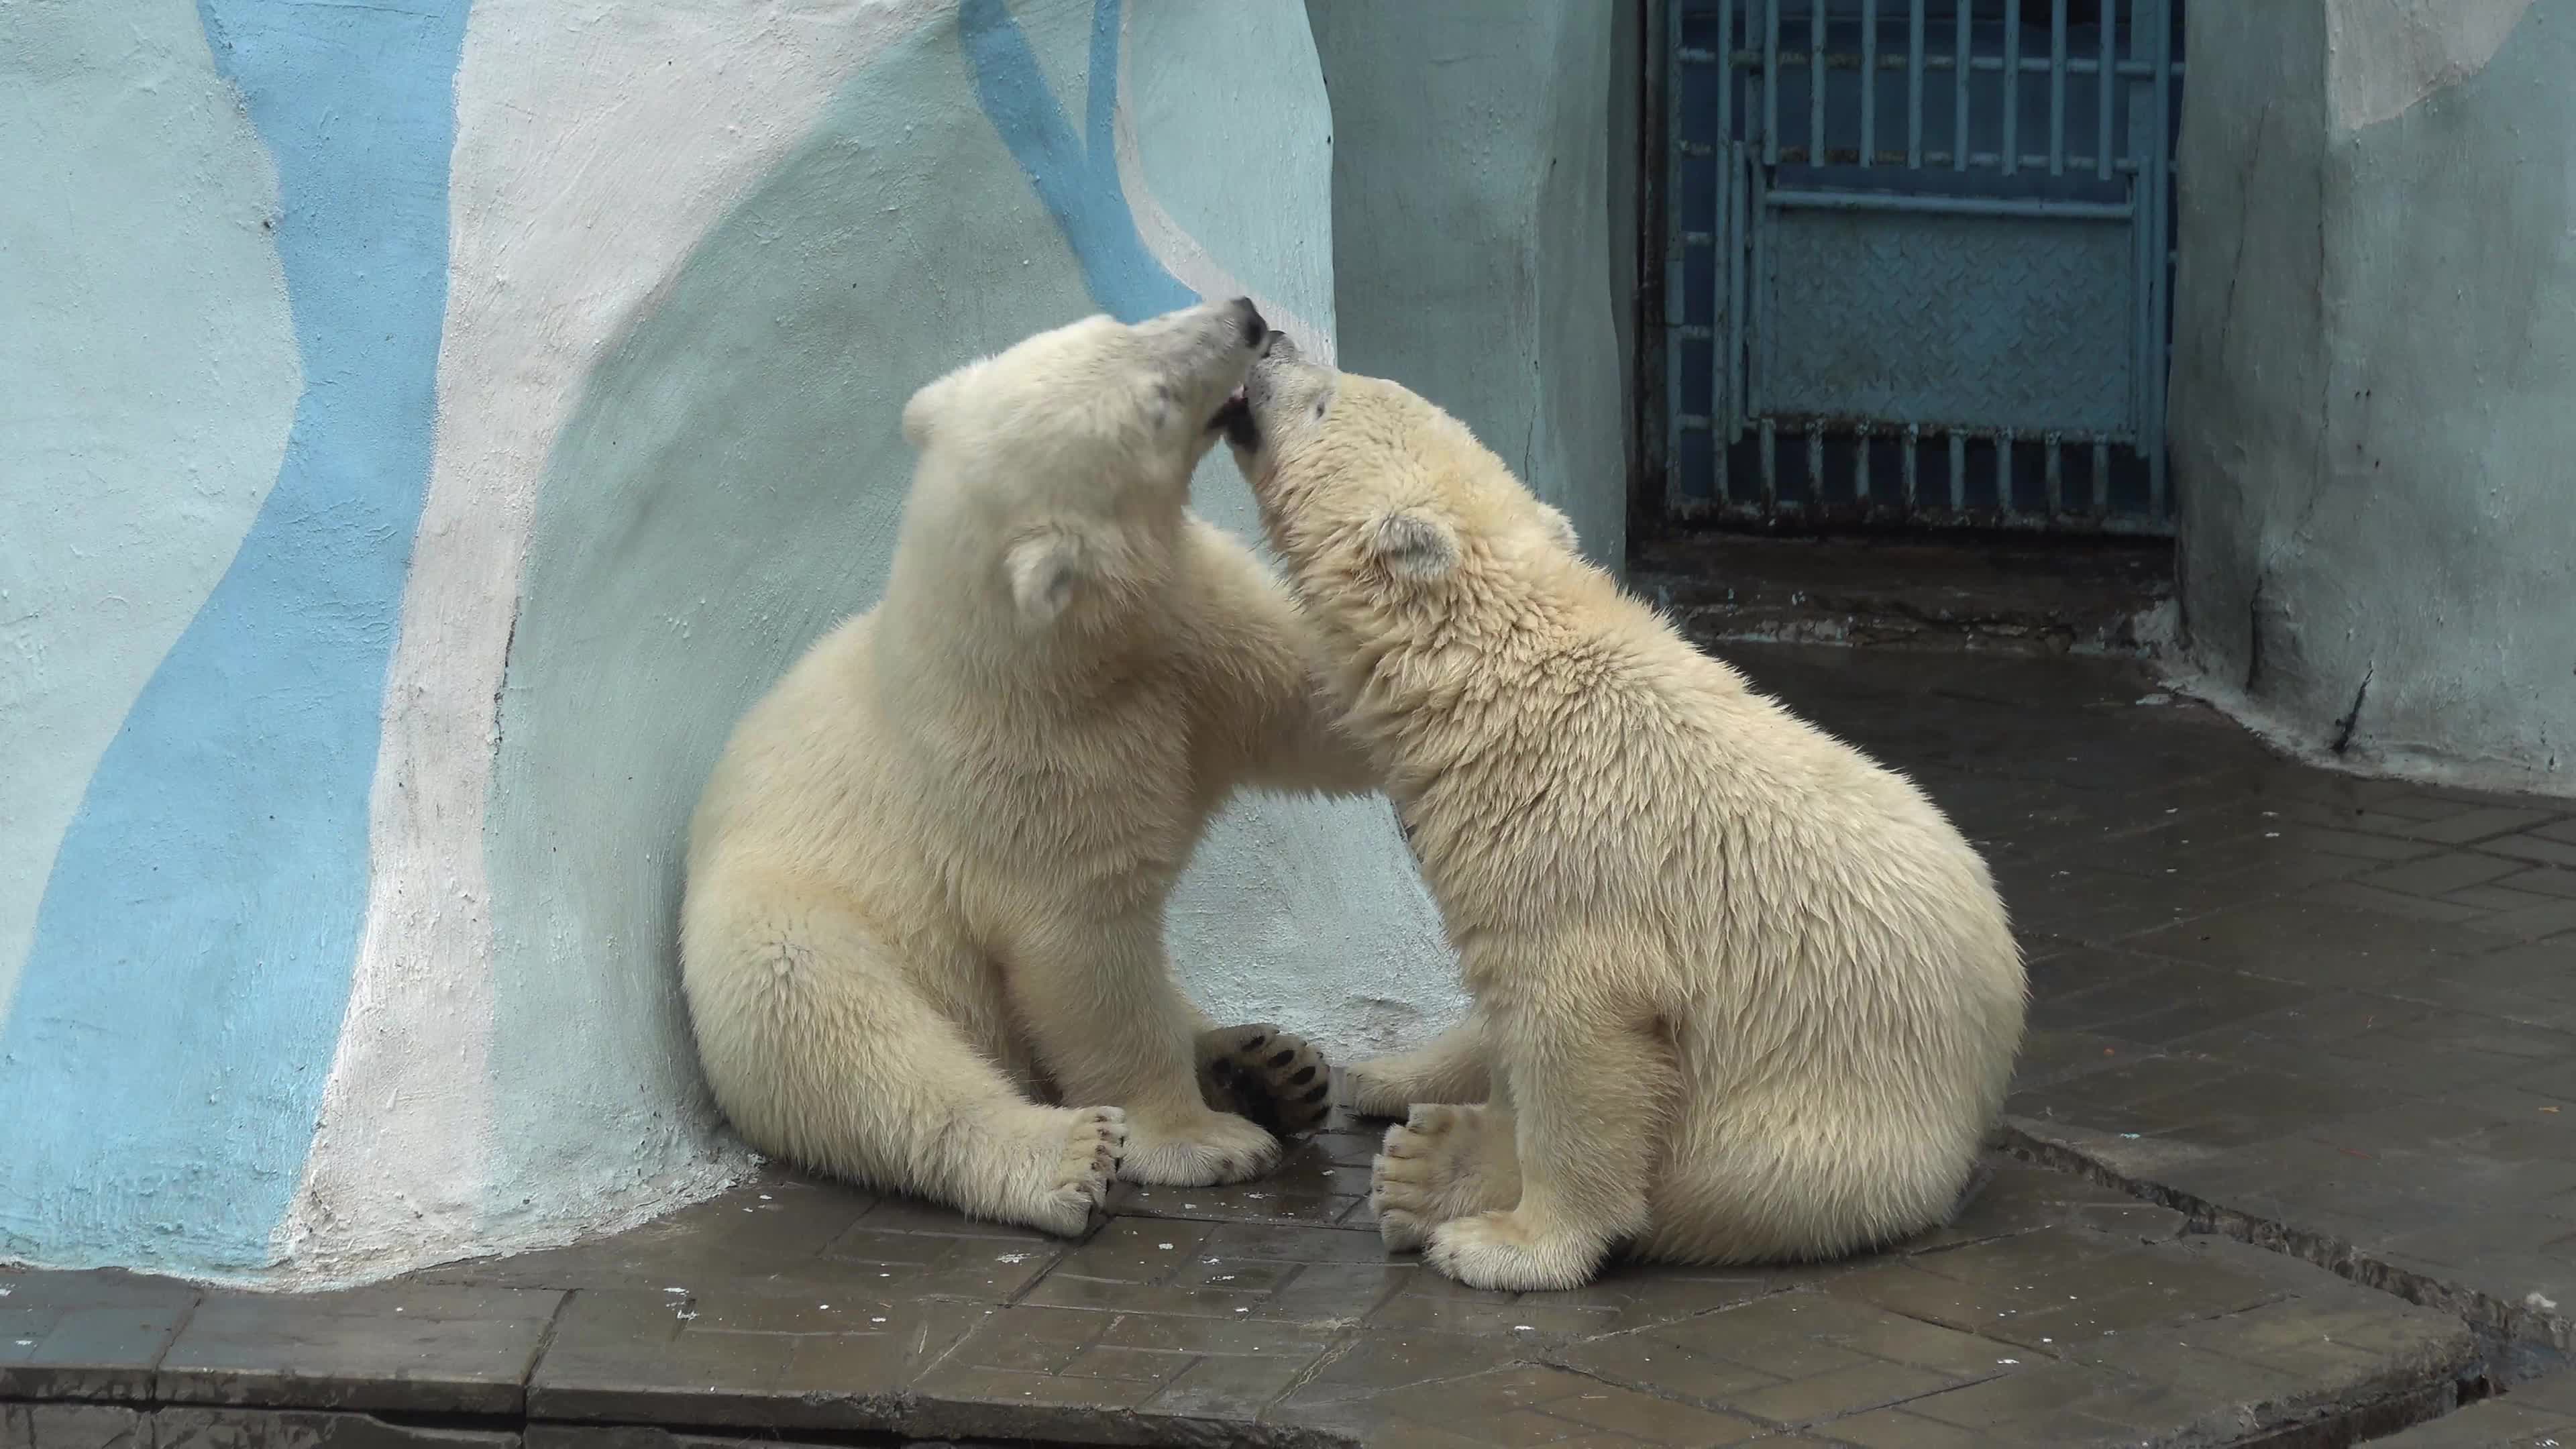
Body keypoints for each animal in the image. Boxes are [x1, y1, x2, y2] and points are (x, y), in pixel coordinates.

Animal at [675, 301, 1381, 1227]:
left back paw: (1270, 1063)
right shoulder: (1026, 762)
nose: (1246, 316)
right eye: (1156, 404)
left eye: (1116, 323)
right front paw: (1199, 1142)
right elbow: (1079, 946)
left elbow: (1318, 701)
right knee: (851, 1039)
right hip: (783, 925)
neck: (1056, 651)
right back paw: (1068, 1154)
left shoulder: (1195, 627)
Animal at [1216, 337, 2019, 1284]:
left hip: (1810, 1135)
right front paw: (1400, 1078)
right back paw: (1401, 1093)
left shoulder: (1569, 850)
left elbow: (1583, 1032)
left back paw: (1436, 1171)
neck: (1500, 686)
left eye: (1323, 400)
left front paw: (1512, 1245)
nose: (1267, 339)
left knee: (1691, 1184)